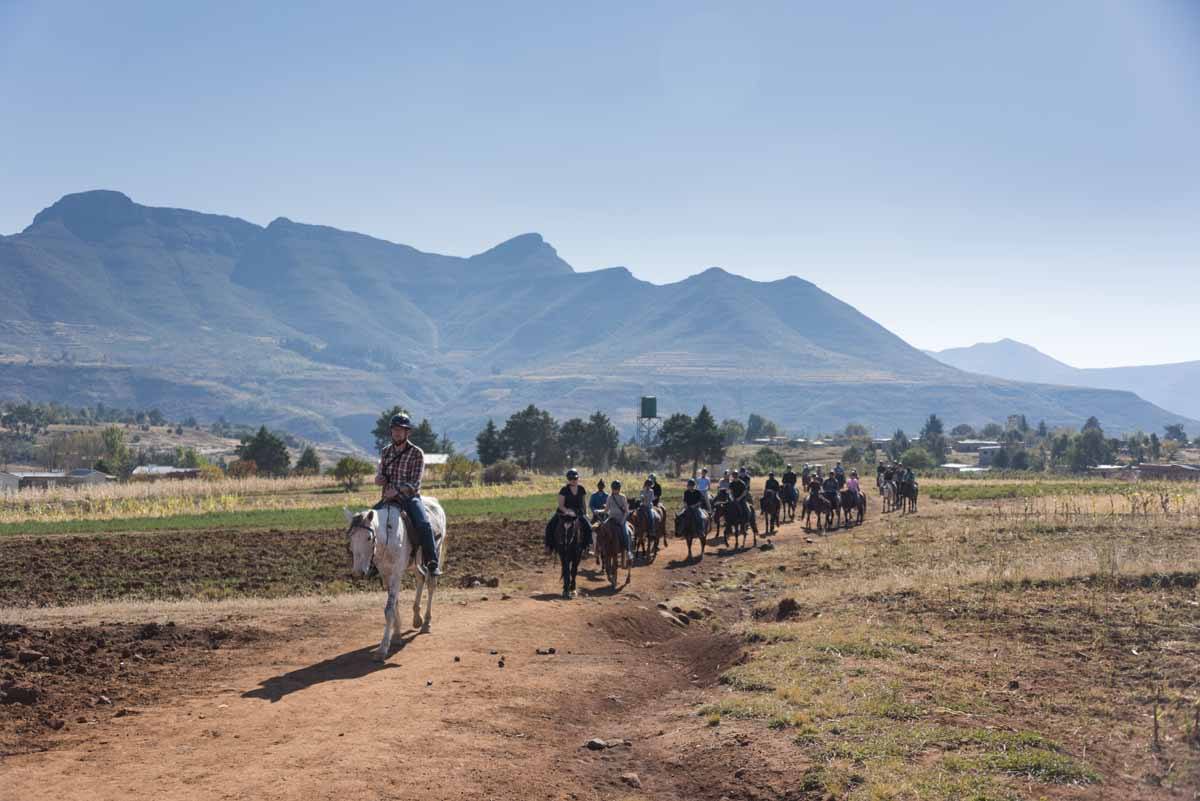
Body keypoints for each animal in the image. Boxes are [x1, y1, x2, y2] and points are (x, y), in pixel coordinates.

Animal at [345, 501, 448, 661]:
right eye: (351, 537)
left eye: (368, 538)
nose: (358, 572)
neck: (388, 535)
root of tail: (435, 502)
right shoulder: (386, 574)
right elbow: (394, 605)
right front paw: (397, 635)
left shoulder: (396, 573)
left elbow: (389, 609)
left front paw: (382, 649)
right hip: (415, 563)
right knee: (421, 578)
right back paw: (417, 619)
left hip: (436, 553)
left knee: (431, 584)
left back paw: (426, 623)